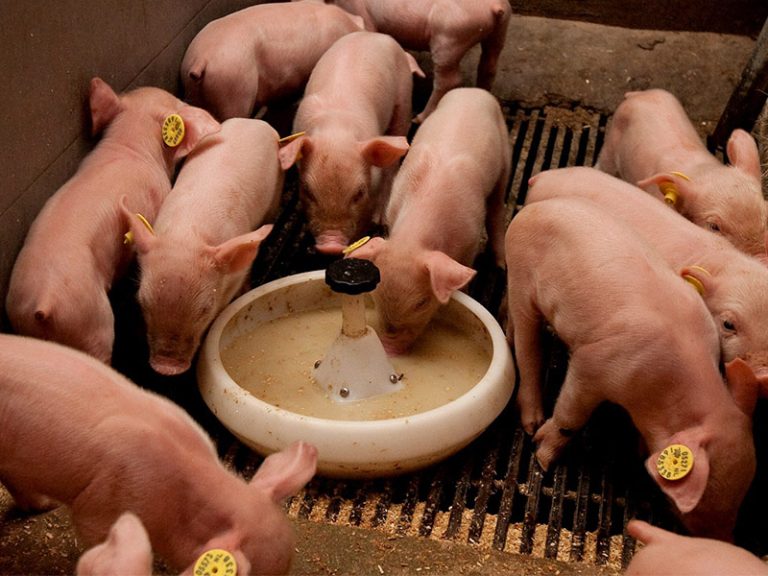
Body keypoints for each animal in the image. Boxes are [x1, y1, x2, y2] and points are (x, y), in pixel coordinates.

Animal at [278, 31, 419, 254]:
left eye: (359, 193)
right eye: (307, 191)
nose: (331, 245)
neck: (336, 129)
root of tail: (374, 34)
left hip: (404, 97)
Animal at [321, 0, 511, 123]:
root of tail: (495, 6)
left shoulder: (362, 13)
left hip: (449, 38)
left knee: (449, 80)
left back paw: (419, 118)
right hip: (498, 32)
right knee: (489, 66)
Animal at [351, 87, 510, 354]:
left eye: (421, 303)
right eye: (377, 293)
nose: (390, 346)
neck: (414, 236)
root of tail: (473, 91)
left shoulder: (470, 237)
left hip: (504, 165)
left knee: (497, 209)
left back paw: (501, 264)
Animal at [505, 196, 757, 540]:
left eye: (740, 497)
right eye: (703, 499)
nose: (726, 541)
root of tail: (531, 210)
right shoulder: (592, 364)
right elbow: (571, 416)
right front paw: (542, 459)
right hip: (521, 278)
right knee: (527, 347)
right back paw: (531, 423)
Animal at [595, 88, 766, 256]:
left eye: (766, 210)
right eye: (714, 226)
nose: (762, 256)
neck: (703, 171)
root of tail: (638, 95)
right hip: (612, 139)